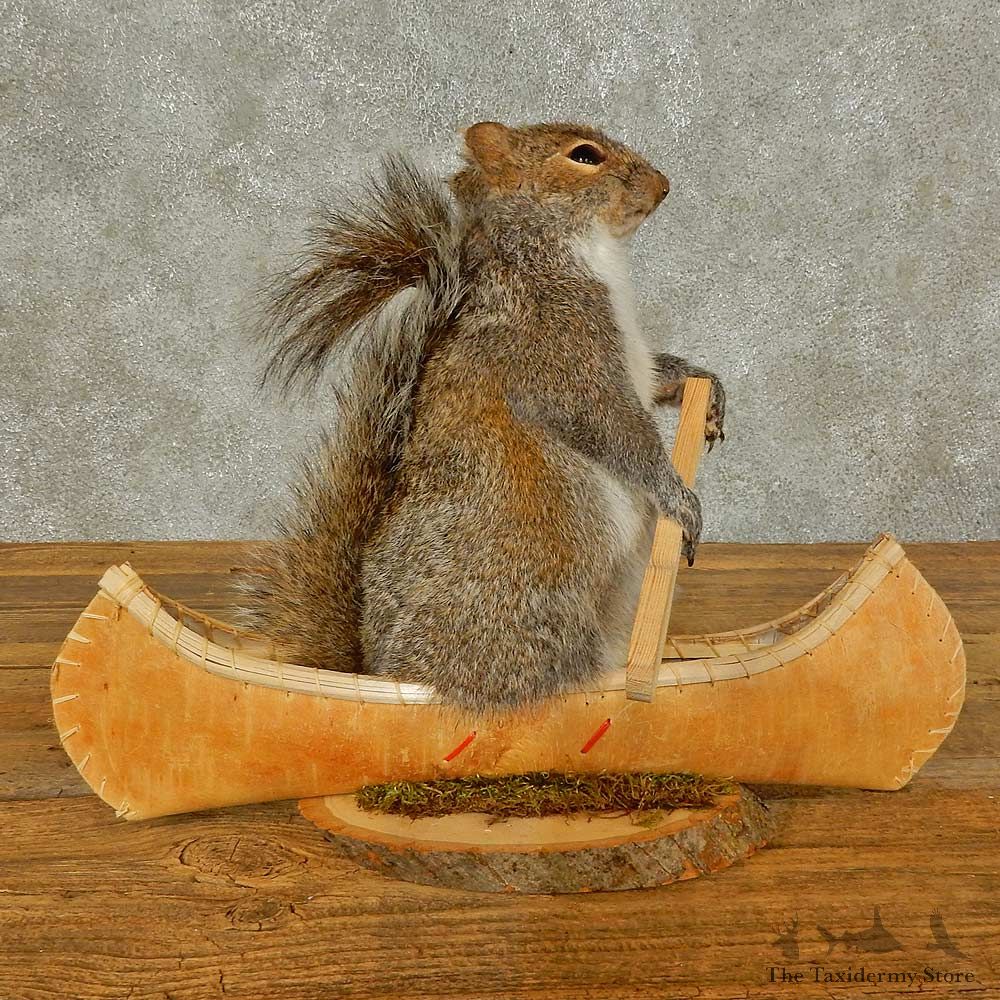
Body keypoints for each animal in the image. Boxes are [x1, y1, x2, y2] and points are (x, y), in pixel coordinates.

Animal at [237, 121, 726, 715]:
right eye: (585, 156)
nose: (663, 185)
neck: (573, 253)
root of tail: (377, 668)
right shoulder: (557, 355)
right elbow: (613, 429)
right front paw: (678, 497)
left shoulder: (627, 358)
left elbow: (656, 377)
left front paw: (704, 385)